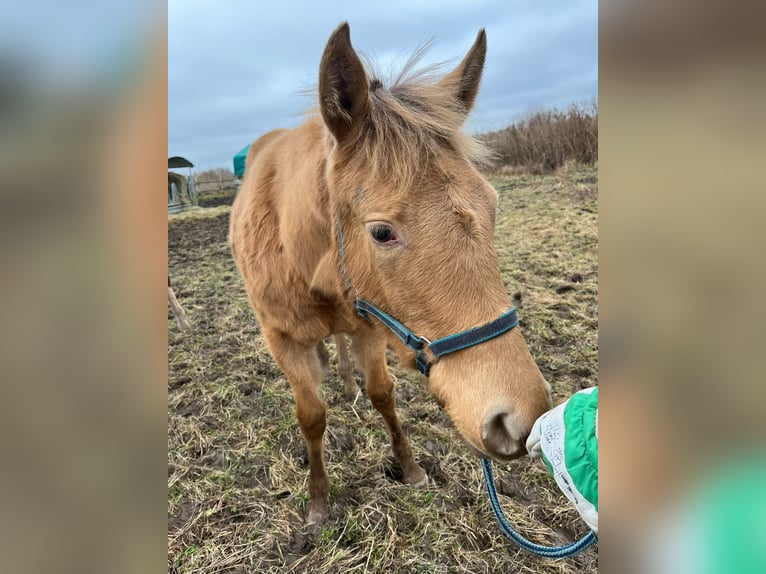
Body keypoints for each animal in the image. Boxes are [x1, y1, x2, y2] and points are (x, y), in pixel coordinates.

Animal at [229, 22, 552, 524]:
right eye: (382, 232)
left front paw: (410, 467)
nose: (517, 419)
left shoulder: (370, 325)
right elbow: (311, 416)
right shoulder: (280, 339)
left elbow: (382, 394)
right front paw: (318, 499)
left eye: (493, 205)